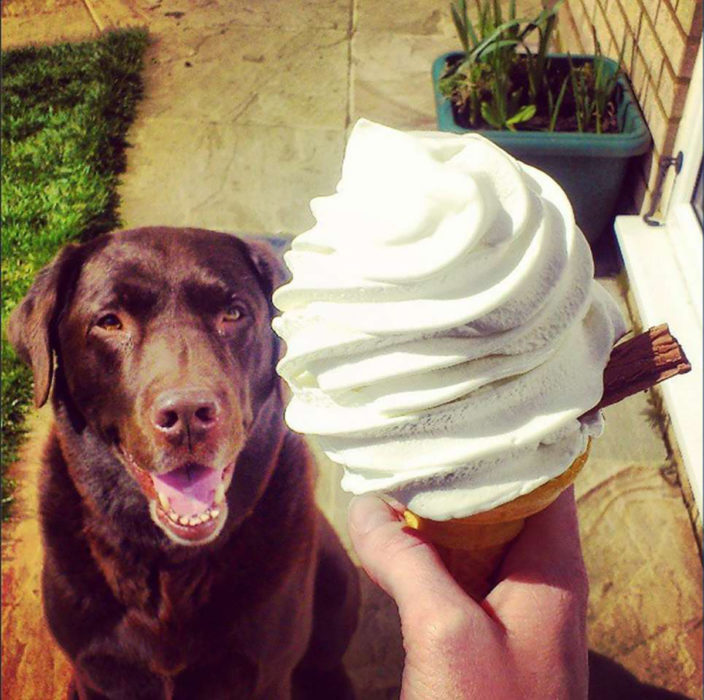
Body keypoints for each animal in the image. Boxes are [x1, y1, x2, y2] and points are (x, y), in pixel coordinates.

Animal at [4, 227, 358, 696]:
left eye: (233, 313)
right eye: (110, 322)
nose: (188, 415)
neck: (168, 566)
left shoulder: (265, 673)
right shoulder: (95, 673)